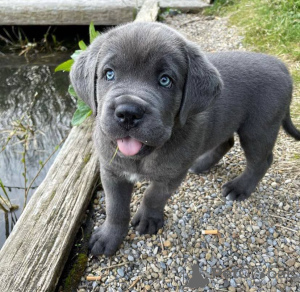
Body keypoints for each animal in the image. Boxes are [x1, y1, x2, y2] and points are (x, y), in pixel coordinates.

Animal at [71, 22, 300, 256]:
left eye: (165, 80)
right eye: (109, 74)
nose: (128, 112)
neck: (143, 157)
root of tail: (282, 66)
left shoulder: (171, 175)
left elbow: (153, 196)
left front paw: (148, 220)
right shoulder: (112, 171)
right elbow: (115, 208)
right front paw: (109, 237)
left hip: (258, 128)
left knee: (261, 161)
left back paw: (239, 188)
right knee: (226, 142)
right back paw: (202, 164)